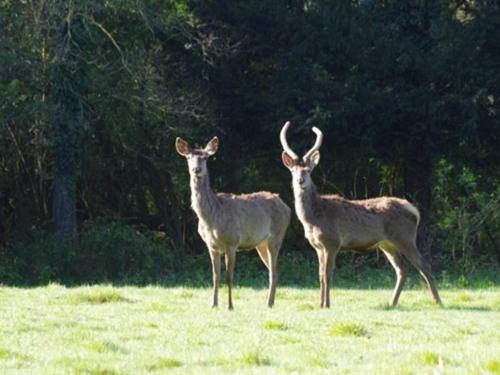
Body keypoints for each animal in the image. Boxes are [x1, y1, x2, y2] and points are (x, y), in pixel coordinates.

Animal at [177, 137, 292, 310]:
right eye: (188, 157)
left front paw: (230, 306)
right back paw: (269, 302)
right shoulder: (211, 246)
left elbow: (229, 276)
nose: (196, 169)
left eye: (205, 157)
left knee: (274, 270)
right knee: (274, 270)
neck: (211, 218)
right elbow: (215, 276)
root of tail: (287, 207)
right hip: (261, 243)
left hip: (277, 236)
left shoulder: (232, 242)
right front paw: (214, 304)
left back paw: (269, 303)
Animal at [282, 122, 442, 306]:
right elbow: (320, 276)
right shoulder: (317, 246)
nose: (300, 181)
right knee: (402, 269)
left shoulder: (332, 241)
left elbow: (327, 276)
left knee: (424, 265)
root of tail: (414, 211)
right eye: (293, 171)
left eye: (308, 170)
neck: (313, 219)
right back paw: (392, 303)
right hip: (387, 243)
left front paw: (327, 305)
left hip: (405, 237)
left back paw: (438, 301)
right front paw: (320, 304)